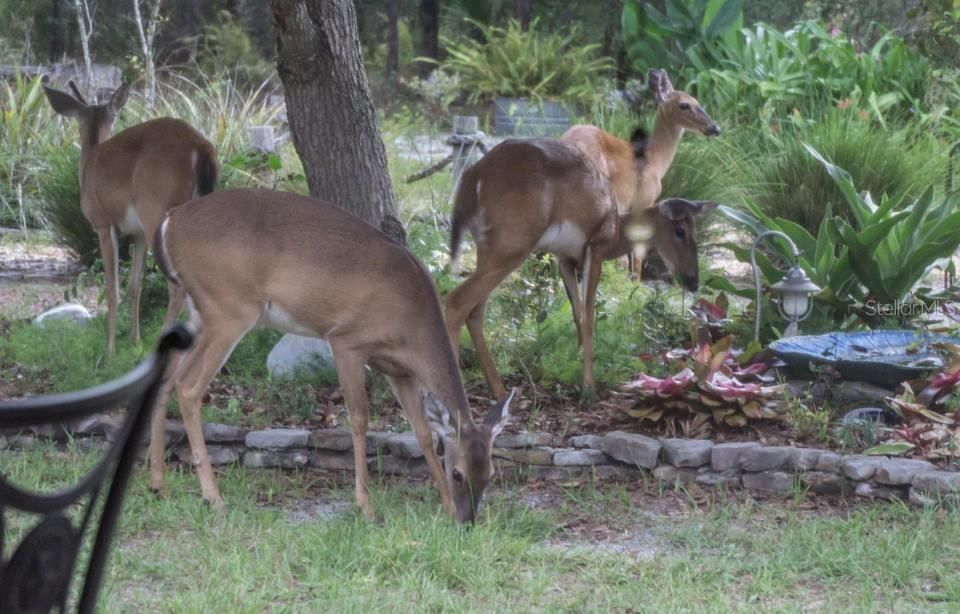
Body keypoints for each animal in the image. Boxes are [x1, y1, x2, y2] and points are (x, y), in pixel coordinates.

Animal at [43, 82, 218, 356]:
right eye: (113, 116)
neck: (90, 162)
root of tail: (201, 147)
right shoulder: (138, 233)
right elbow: (135, 285)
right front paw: (134, 341)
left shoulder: (103, 224)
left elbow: (113, 287)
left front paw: (110, 349)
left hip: (157, 210)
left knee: (177, 286)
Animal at [150, 189, 512, 524]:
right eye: (458, 474)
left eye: (491, 475)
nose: (467, 522)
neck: (412, 324)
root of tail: (169, 221)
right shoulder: (347, 341)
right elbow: (360, 419)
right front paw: (366, 506)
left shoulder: (398, 371)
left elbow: (422, 432)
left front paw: (445, 505)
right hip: (228, 308)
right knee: (188, 386)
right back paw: (214, 498)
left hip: (197, 309)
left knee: (166, 377)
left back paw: (160, 486)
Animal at [446, 133, 716, 402]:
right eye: (680, 231)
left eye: (696, 233)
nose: (693, 280)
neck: (617, 229)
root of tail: (473, 177)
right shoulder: (595, 248)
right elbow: (589, 316)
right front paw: (589, 388)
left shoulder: (564, 258)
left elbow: (577, 313)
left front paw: (576, 366)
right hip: (512, 244)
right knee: (456, 300)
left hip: (488, 248)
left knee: (475, 310)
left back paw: (499, 390)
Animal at [564, 68, 720, 278]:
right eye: (684, 105)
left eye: (697, 100)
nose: (715, 128)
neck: (655, 160)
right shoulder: (643, 200)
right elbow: (636, 255)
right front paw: (636, 282)